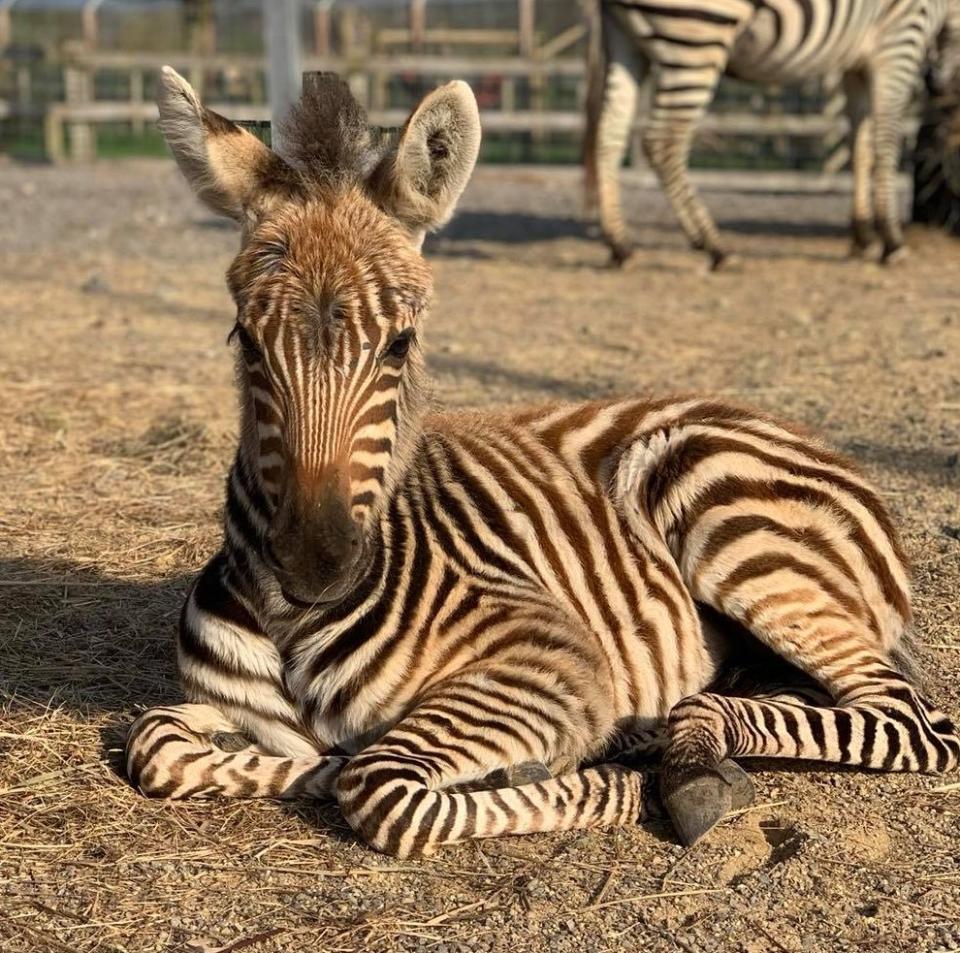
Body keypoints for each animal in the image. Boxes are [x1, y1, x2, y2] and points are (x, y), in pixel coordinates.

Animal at [127, 67, 960, 856]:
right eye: (245, 340)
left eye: (401, 344)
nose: (313, 567)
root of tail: (781, 424)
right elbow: (156, 744)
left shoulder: (550, 660)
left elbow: (378, 783)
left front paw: (600, 781)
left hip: (729, 521)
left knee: (914, 722)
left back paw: (678, 760)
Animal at [584, 0, 960, 268]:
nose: (936, 85)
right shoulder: (899, 40)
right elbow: (885, 143)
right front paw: (892, 242)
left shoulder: (857, 62)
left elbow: (860, 147)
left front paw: (863, 238)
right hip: (697, 35)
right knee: (663, 141)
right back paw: (715, 247)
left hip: (626, 38)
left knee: (609, 133)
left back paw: (620, 244)